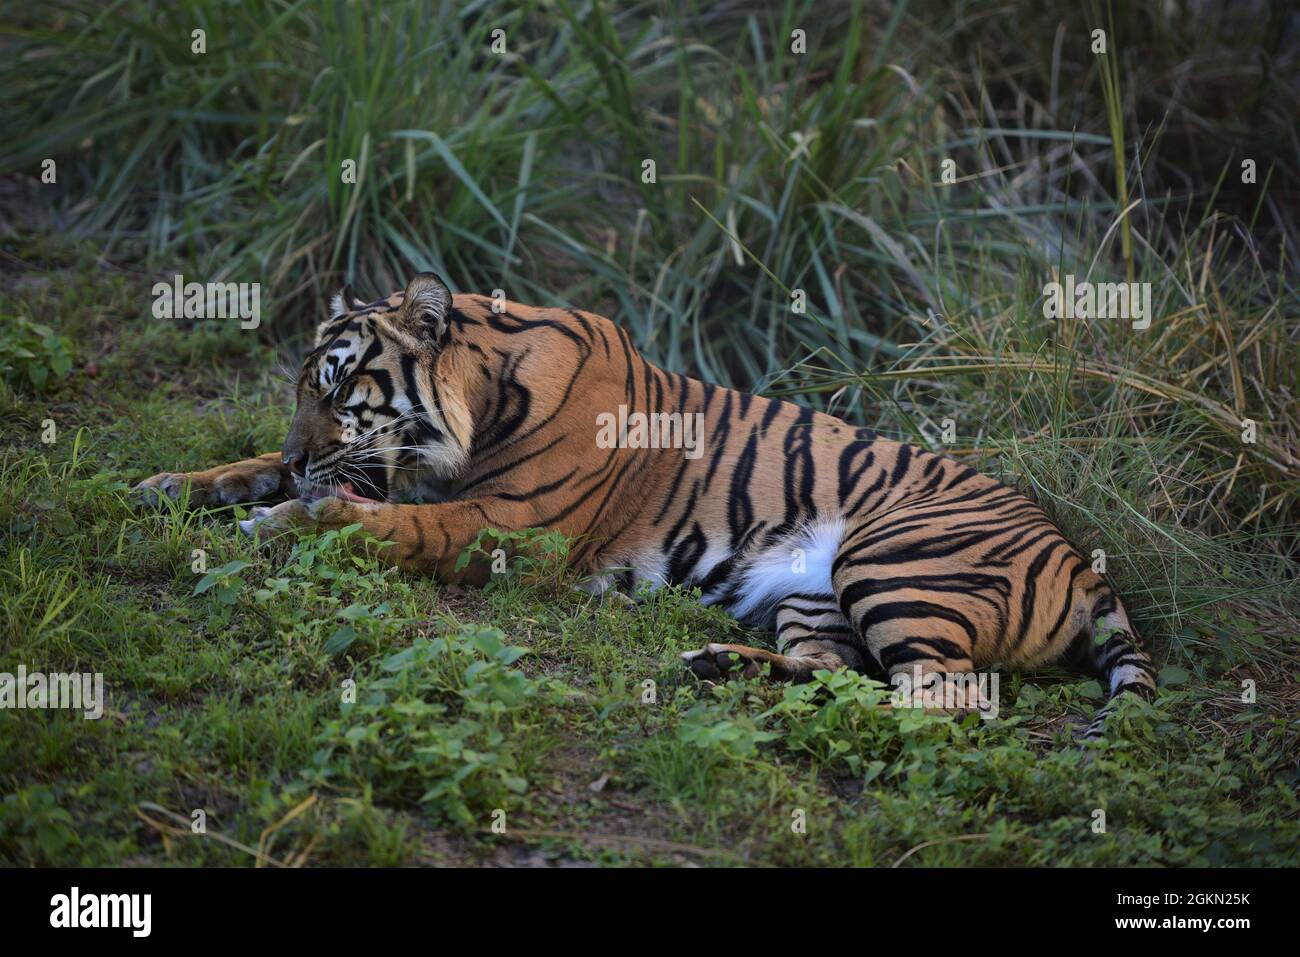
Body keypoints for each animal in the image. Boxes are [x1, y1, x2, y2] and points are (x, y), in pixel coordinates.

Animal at [135, 272, 1158, 735]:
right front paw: (174, 484)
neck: (482, 390)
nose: (304, 453)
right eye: (299, 386)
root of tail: (1079, 557)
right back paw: (719, 667)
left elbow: (387, 523)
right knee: (840, 671)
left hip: (892, 558)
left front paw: (284, 521)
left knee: (948, 701)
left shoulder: (508, 527)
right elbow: (251, 467)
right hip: (812, 591)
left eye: (339, 384)